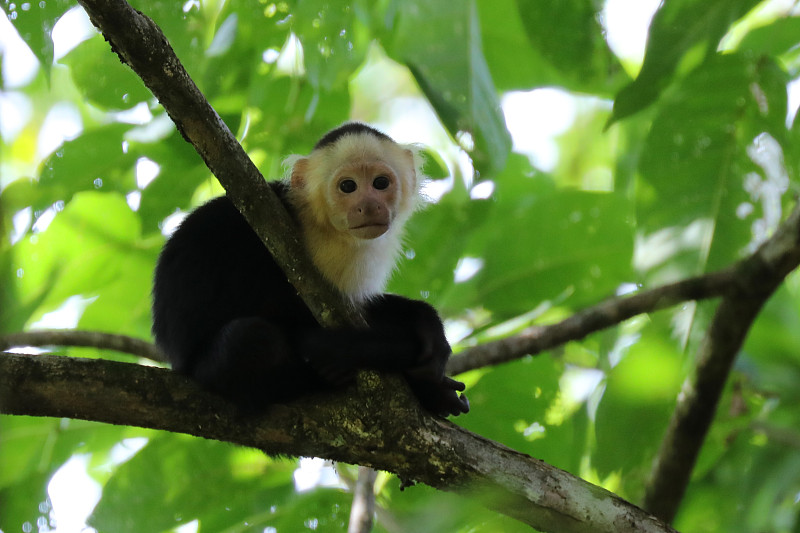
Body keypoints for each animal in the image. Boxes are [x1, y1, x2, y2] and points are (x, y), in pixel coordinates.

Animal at [152, 121, 468, 416]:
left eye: (380, 183)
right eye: (348, 186)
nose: (369, 206)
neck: (320, 226)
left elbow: (362, 307)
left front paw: (426, 322)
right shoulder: (271, 233)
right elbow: (283, 310)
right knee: (251, 337)